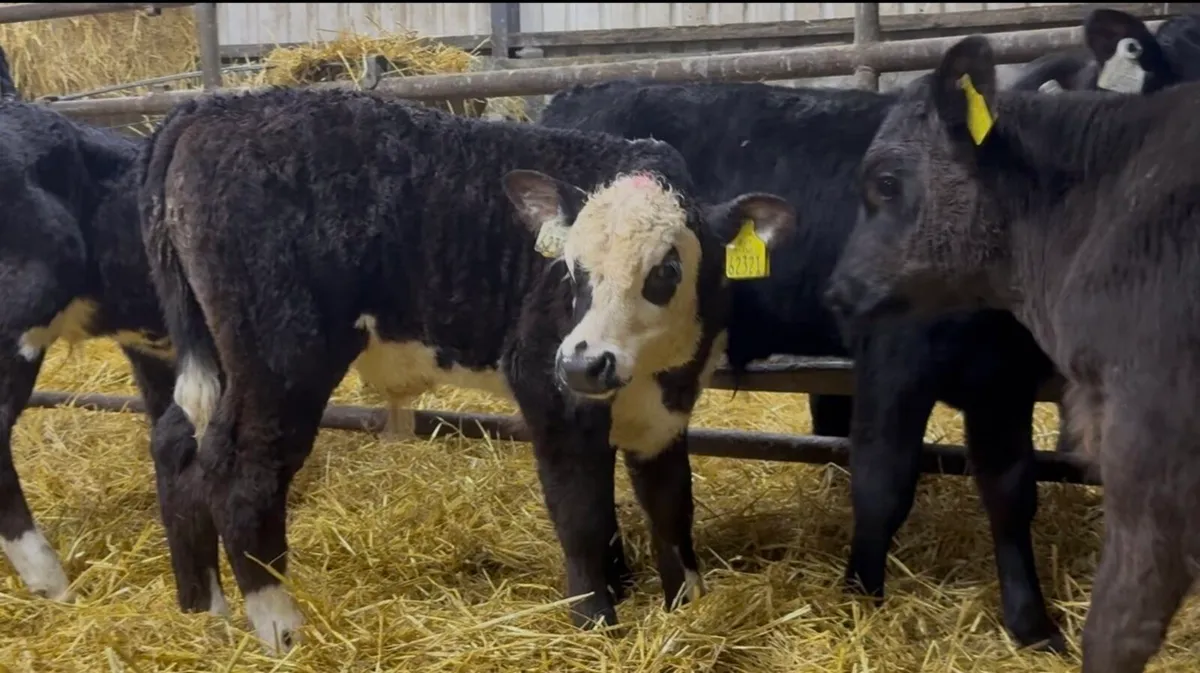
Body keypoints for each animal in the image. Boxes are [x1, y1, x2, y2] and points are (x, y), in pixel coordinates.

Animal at [136, 85, 796, 653]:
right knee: (242, 471)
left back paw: (204, 608)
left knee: (179, 440)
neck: (652, 369)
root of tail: (209, 107)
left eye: (666, 269)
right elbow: (581, 513)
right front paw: (594, 623)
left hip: (217, 353)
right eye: (571, 268)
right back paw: (281, 627)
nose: (585, 362)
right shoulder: (546, 385)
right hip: (280, 354)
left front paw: (687, 605)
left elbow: (671, 505)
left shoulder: (666, 412)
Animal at [539, 78, 1067, 651]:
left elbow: (1012, 491)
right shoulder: (893, 358)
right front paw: (861, 596)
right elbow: (883, 483)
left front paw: (1032, 624)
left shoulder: (1006, 378)